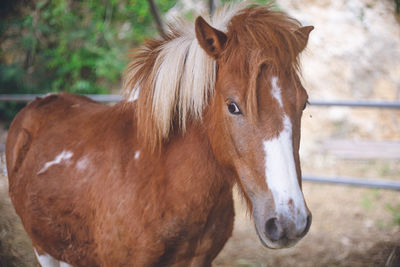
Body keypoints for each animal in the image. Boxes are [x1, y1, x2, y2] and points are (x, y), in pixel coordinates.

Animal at [5, 2, 312, 267]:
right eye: (233, 106)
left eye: (304, 103)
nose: (290, 222)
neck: (164, 181)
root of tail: (39, 102)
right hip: (43, 248)